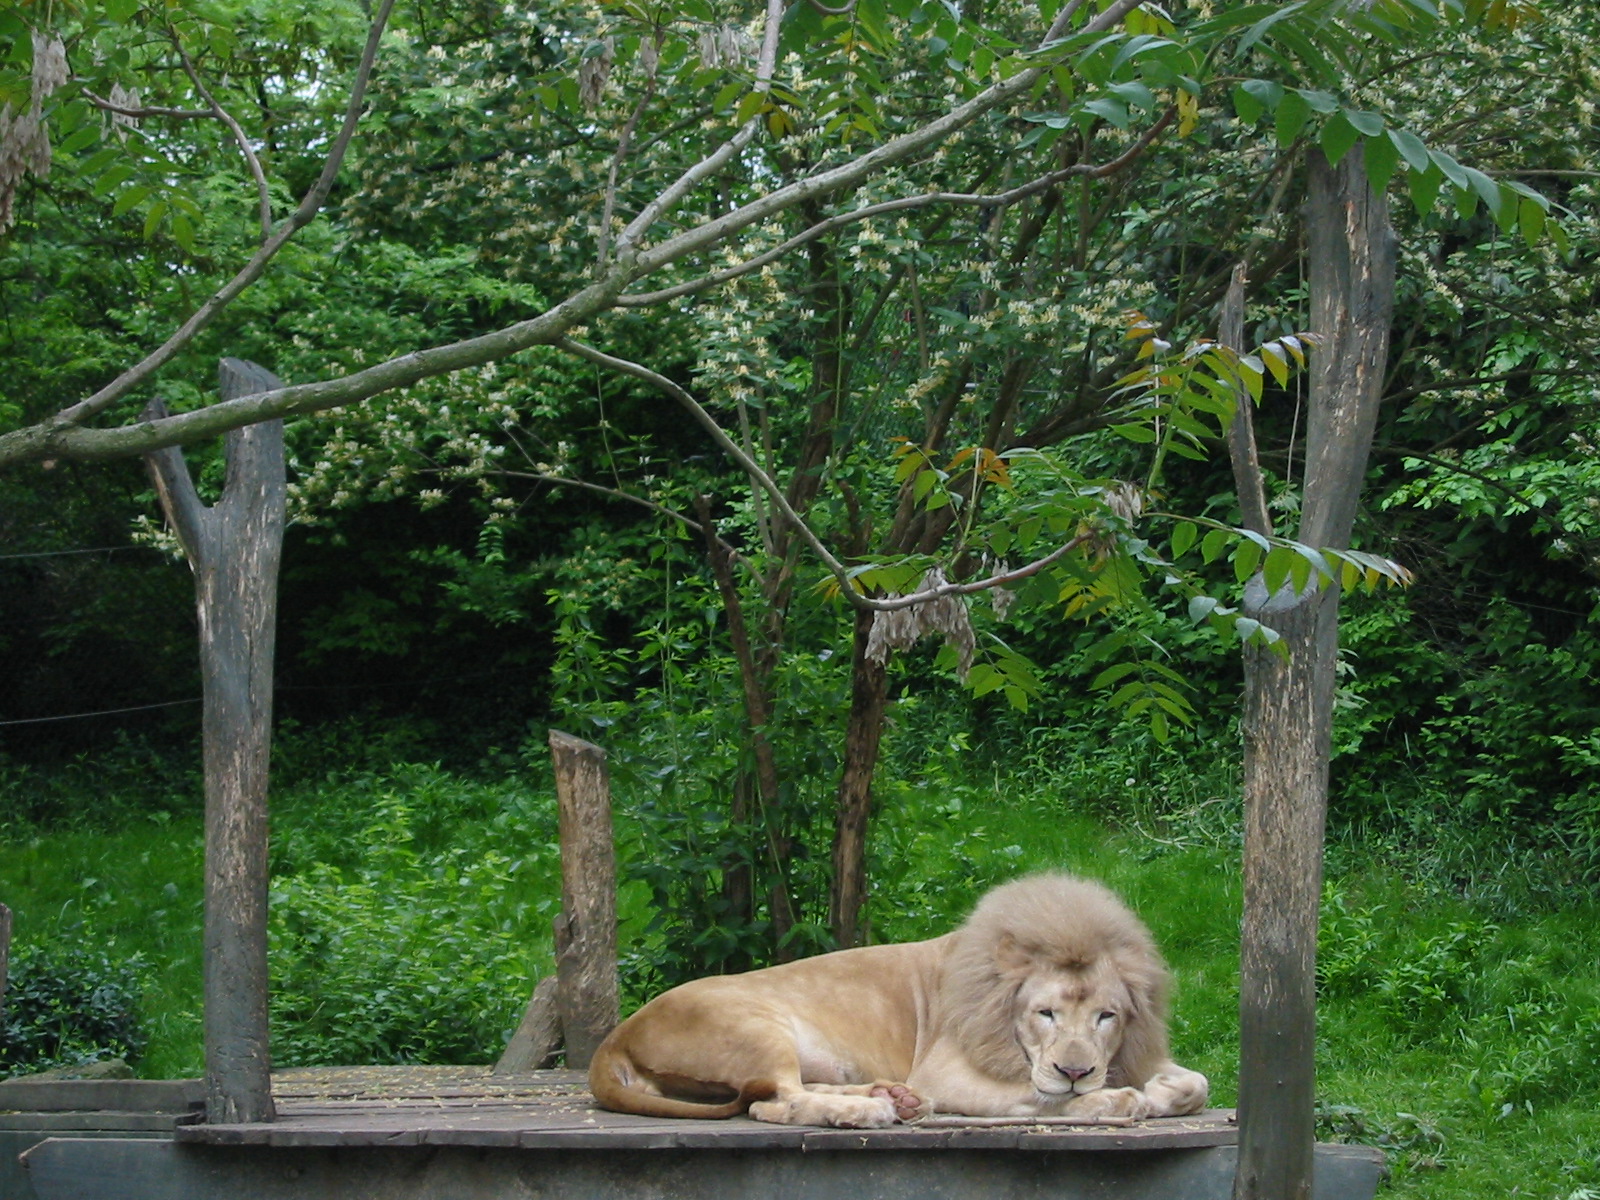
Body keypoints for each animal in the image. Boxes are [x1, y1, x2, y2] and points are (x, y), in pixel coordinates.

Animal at [588, 873, 1209, 1128]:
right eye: (1045, 1014)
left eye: (1107, 1016)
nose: (1077, 1072)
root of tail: (614, 1039)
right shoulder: (946, 1072)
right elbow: (1036, 1097)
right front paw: (1114, 1100)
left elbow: (1197, 1083)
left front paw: (1159, 1091)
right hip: (755, 1027)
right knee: (775, 1100)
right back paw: (870, 1110)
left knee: (771, 1096)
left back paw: (891, 1097)